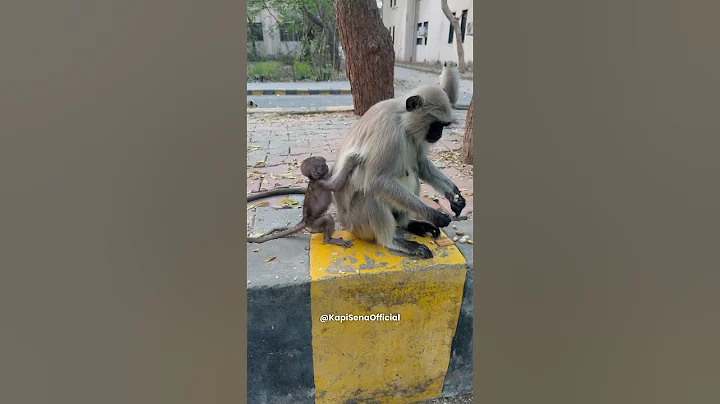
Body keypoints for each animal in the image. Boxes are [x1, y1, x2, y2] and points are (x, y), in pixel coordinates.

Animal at [331, 85, 466, 259]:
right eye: (435, 124)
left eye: (443, 125)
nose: (439, 134)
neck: (402, 119)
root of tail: (345, 223)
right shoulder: (389, 131)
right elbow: (377, 180)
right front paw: (434, 215)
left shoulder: (415, 136)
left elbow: (421, 165)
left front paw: (454, 195)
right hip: (357, 223)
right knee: (370, 191)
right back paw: (392, 242)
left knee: (412, 172)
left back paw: (407, 224)